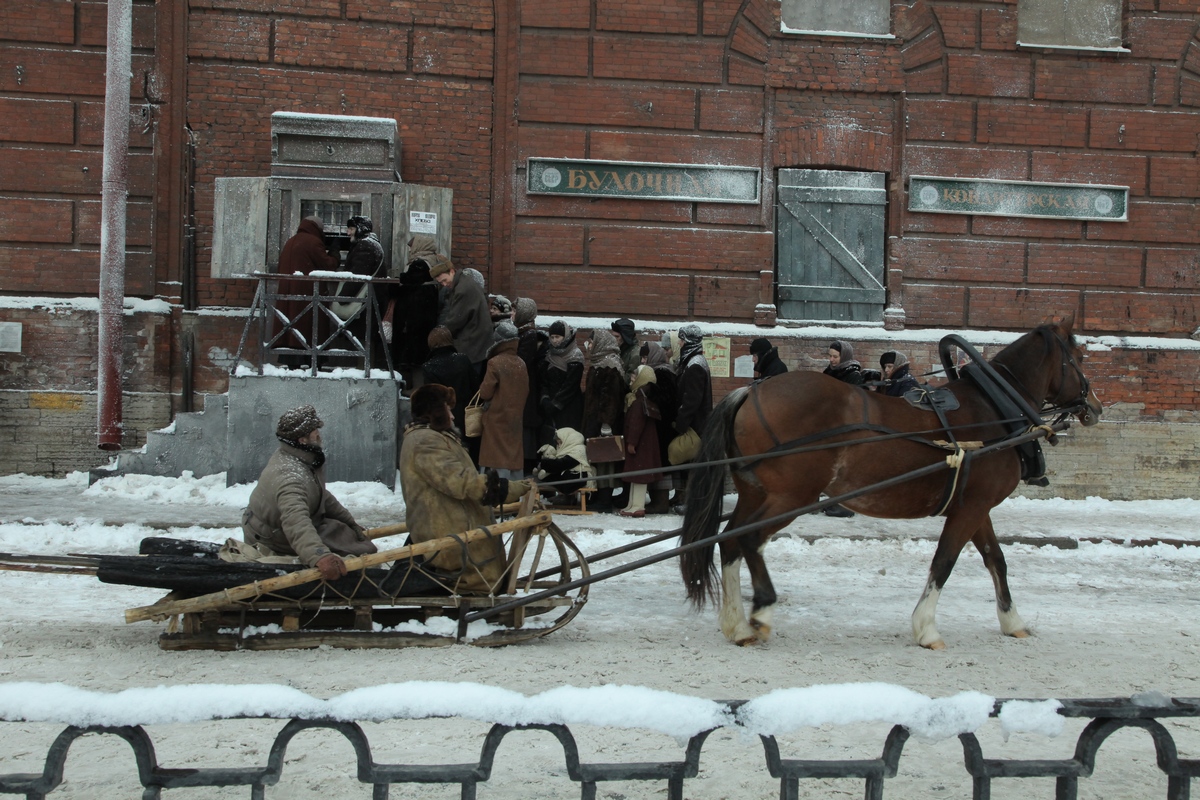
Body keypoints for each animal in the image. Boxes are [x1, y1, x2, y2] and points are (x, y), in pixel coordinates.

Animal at [681, 319, 1099, 652]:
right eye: (1078, 357)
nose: (1094, 405)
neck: (994, 408)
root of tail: (751, 391)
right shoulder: (971, 508)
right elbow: (944, 561)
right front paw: (926, 628)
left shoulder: (975, 506)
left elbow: (996, 559)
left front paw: (1012, 622)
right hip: (792, 496)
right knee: (750, 539)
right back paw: (762, 610)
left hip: (756, 493)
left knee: (730, 542)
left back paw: (736, 625)